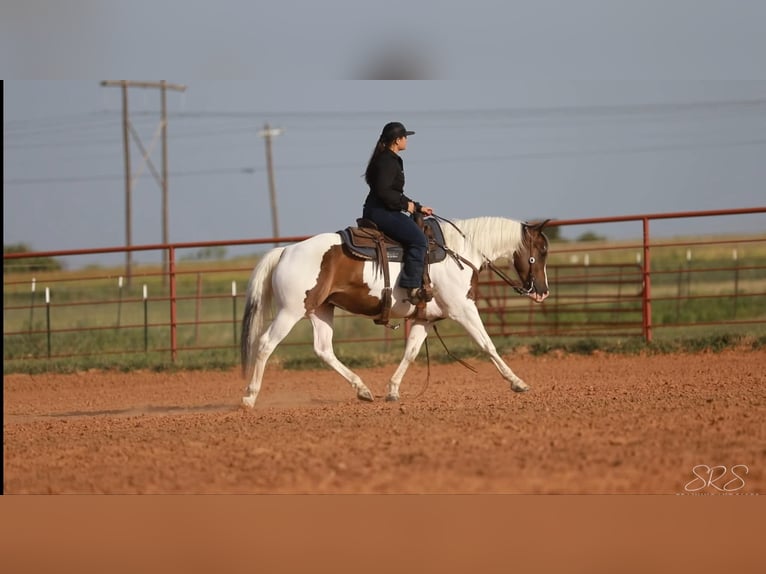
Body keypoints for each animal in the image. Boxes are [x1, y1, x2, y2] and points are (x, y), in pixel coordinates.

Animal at [242, 217, 552, 410]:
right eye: (542, 250)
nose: (543, 291)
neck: (459, 253)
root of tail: (285, 250)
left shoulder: (425, 319)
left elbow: (410, 352)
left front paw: (392, 390)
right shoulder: (463, 309)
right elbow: (487, 344)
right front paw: (517, 382)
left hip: (321, 310)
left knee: (323, 349)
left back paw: (363, 389)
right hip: (291, 311)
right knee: (266, 344)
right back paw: (249, 397)